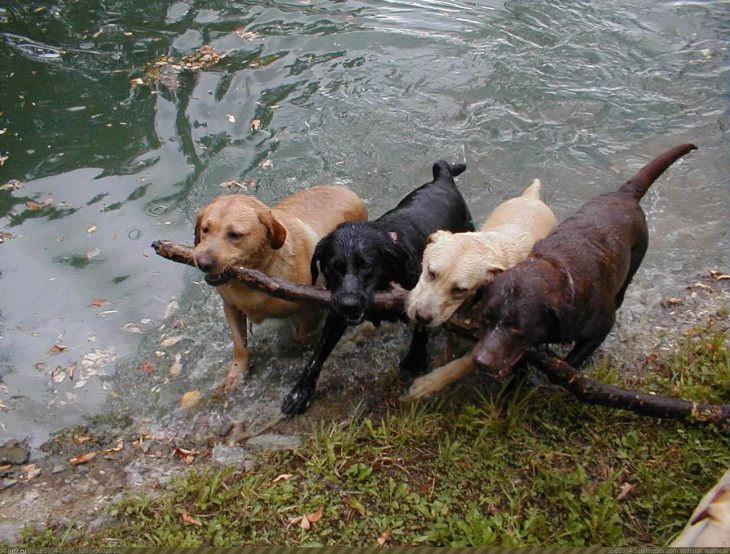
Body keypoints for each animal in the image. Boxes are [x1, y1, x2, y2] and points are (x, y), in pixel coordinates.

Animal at [193, 185, 366, 388]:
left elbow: (300, 338)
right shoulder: (231, 307)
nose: (202, 263)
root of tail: (344, 189)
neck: (256, 274)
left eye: (235, 235)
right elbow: (239, 345)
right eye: (205, 229)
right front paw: (235, 375)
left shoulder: (311, 309)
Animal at [400, 177, 556, 396]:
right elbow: (452, 338)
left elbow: (467, 363)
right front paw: (444, 356)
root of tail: (532, 197)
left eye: (460, 290)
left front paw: (429, 384)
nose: (421, 316)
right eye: (431, 272)